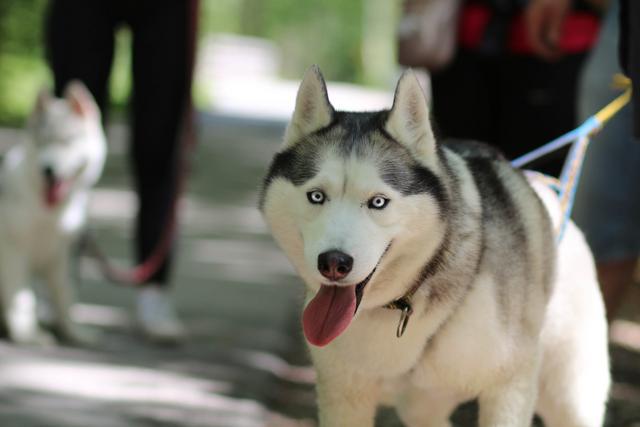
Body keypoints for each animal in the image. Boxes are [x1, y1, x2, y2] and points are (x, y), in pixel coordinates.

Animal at [0, 83, 106, 344]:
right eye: (41, 142)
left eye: (67, 141)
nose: (47, 170)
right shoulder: (13, 250)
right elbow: (22, 297)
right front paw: (27, 335)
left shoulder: (62, 254)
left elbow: (64, 294)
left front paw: (73, 332)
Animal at [260, 65, 608, 426]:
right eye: (316, 196)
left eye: (378, 202)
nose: (333, 263)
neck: (403, 303)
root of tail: (550, 188)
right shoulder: (343, 397)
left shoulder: (510, 385)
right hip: (422, 408)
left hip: (569, 396)